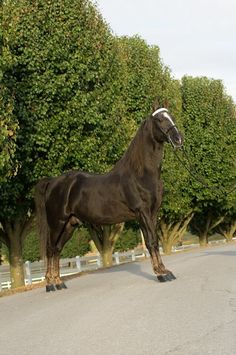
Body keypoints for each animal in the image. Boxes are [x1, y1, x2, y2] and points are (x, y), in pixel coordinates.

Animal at [34, 108, 183, 292]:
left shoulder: (152, 213)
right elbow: (151, 242)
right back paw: (50, 284)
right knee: (50, 249)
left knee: (57, 249)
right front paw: (162, 273)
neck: (140, 173)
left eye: (172, 117)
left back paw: (58, 282)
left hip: (69, 225)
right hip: (57, 224)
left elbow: (153, 241)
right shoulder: (142, 213)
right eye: (160, 120)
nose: (178, 139)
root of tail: (53, 182)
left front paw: (163, 270)